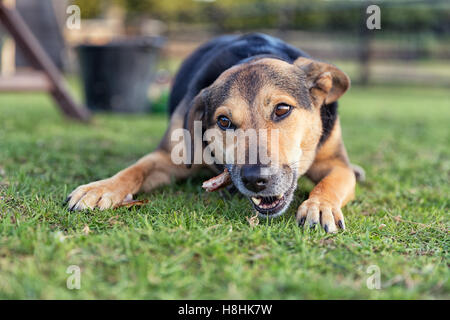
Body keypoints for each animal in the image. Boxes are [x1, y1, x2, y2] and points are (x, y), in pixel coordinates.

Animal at [66, 33, 366, 232]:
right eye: (223, 121)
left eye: (282, 109)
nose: (256, 180)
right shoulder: (167, 157)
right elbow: (135, 169)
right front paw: (101, 188)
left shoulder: (335, 163)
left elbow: (333, 181)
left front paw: (320, 205)